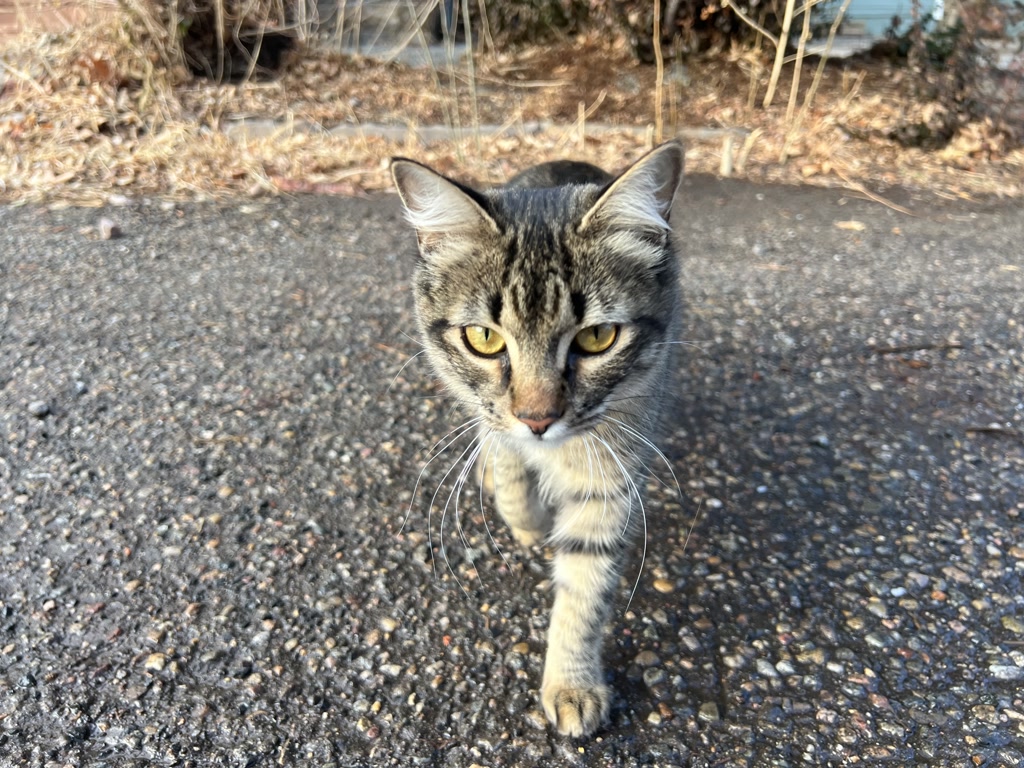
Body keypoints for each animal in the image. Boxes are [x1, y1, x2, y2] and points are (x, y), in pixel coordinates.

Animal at [391, 141, 688, 737]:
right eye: (482, 338)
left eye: (598, 337)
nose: (537, 419)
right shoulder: (491, 419)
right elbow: (505, 465)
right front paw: (525, 519)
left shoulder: (611, 477)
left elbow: (585, 587)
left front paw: (572, 684)